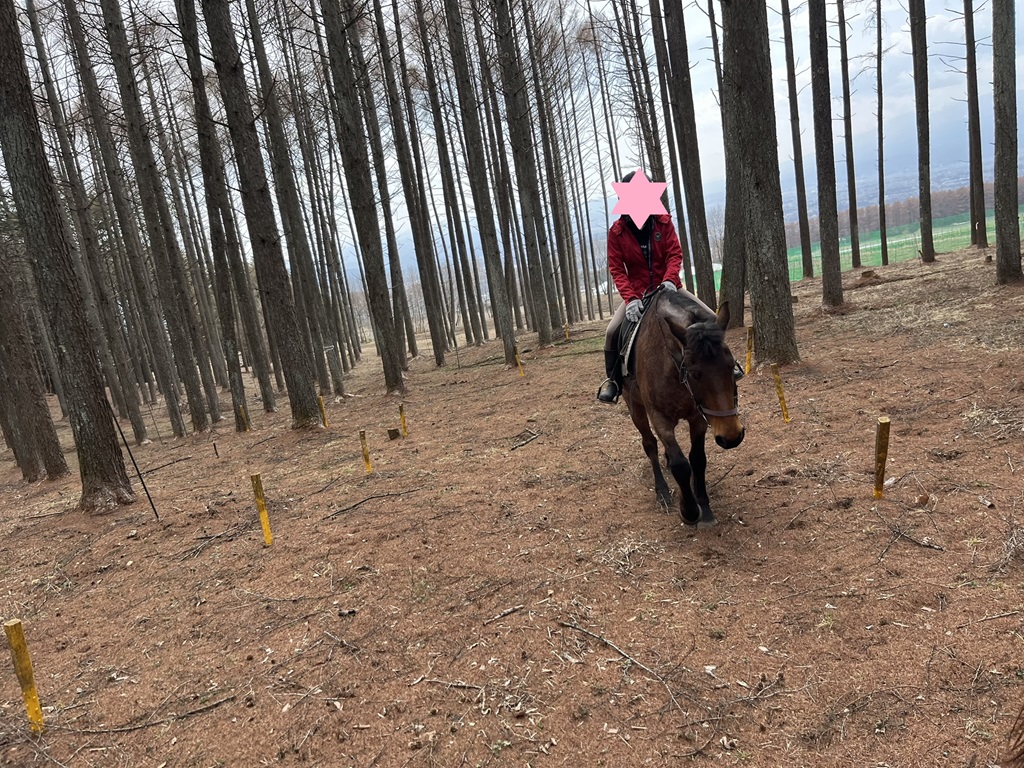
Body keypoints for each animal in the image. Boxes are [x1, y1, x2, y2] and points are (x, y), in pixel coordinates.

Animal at [621, 288, 745, 528]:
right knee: (650, 445)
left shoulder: (698, 417)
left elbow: (697, 459)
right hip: (634, 407)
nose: (732, 436)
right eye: (695, 373)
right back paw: (662, 492)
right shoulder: (659, 418)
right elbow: (680, 464)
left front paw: (704, 506)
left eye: (730, 366)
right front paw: (689, 510)